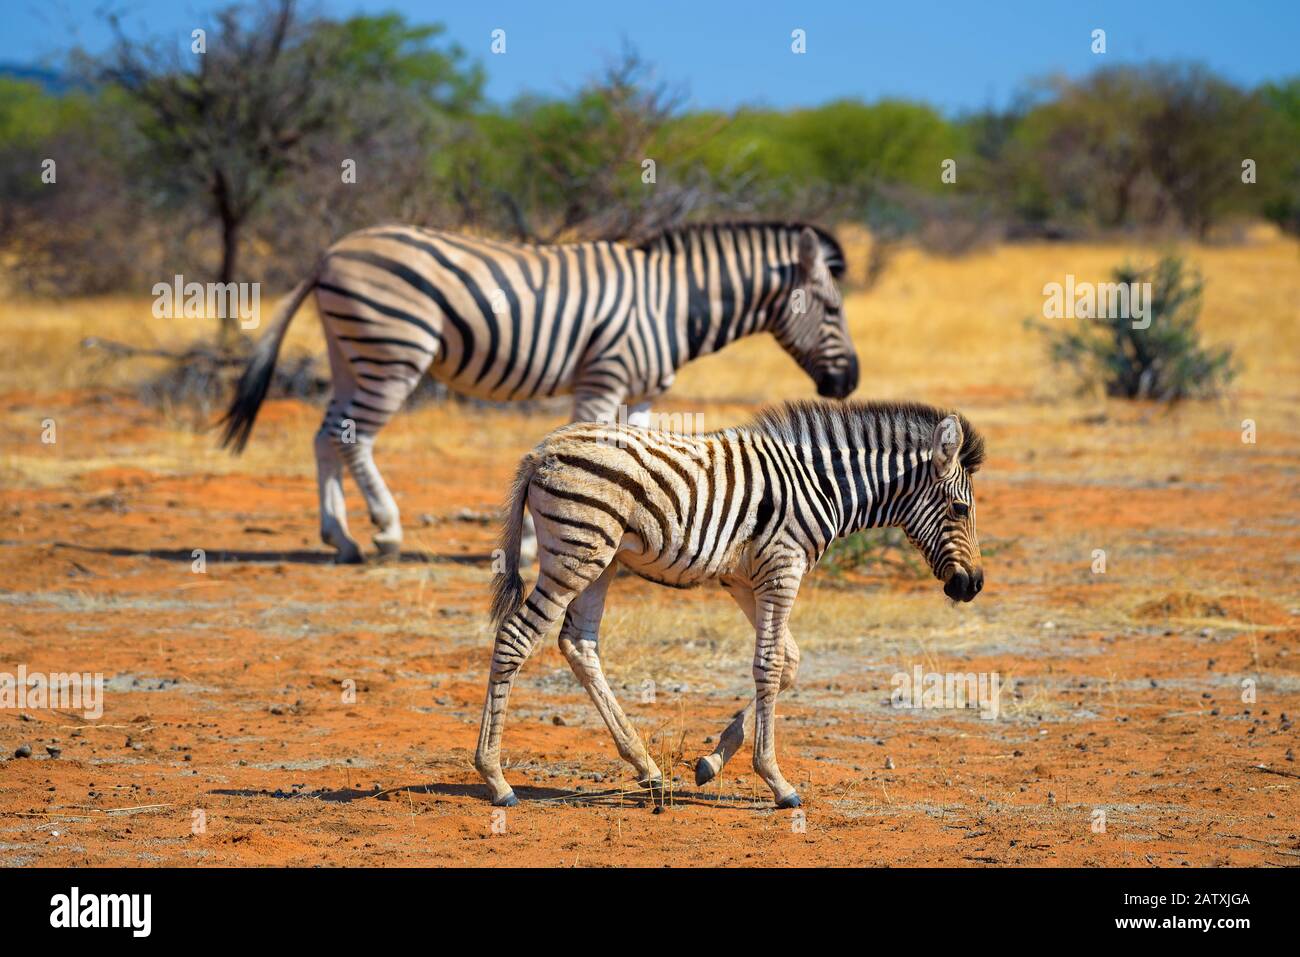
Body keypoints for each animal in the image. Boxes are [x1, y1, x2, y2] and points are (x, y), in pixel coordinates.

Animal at [220, 222, 859, 564]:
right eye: (831, 310)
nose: (849, 382)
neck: (675, 305)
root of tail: (330, 253)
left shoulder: (642, 392)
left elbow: (644, 464)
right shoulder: (604, 376)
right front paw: (533, 547)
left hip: (350, 351)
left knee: (326, 434)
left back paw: (341, 538)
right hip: (393, 348)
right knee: (353, 438)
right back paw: (386, 530)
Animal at [475, 398, 986, 809]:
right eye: (961, 510)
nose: (974, 585)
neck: (823, 484)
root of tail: (542, 451)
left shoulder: (743, 579)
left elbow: (788, 661)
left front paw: (711, 762)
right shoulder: (782, 569)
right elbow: (770, 665)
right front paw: (778, 782)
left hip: (604, 559)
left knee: (579, 643)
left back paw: (647, 769)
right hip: (577, 554)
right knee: (516, 637)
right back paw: (496, 780)